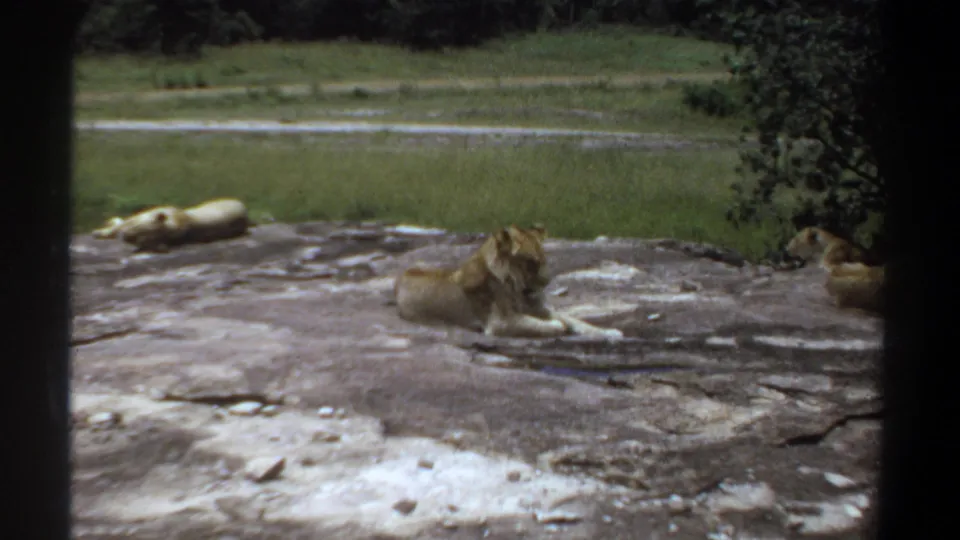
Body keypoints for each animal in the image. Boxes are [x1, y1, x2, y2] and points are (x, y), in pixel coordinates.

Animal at [393, 224, 624, 339]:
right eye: (531, 262)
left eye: (544, 259)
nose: (547, 281)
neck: (519, 287)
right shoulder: (500, 322)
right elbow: (544, 325)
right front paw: (559, 326)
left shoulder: (542, 309)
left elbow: (577, 320)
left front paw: (609, 332)